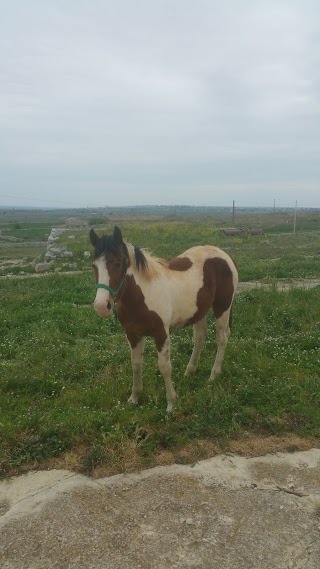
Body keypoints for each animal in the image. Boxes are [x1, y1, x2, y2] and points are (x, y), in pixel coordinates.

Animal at [89, 225, 238, 408]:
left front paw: (171, 403)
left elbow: (165, 367)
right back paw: (190, 371)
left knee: (222, 337)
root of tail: (225, 255)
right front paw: (134, 397)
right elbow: (136, 364)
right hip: (199, 311)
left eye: (117, 264)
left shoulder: (161, 334)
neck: (142, 295)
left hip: (222, 307)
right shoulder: (133, 334)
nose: (101, 306)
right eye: (94, 266)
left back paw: (214, 375)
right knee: (200, 337)